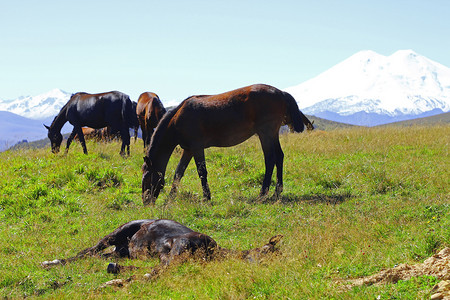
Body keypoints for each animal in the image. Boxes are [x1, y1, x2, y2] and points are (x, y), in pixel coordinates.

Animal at [42, 218, 282, 278]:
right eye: (267, 251)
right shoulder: (178, 245)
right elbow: (161, 269)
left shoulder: (164, 255)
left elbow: (156, 268)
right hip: (117, 232)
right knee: (88, 250)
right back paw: (51, 262)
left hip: (122, 251)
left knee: (99, 255)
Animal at [141, 84, 312, 204]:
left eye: (147, 178)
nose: (146, 202)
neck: (178, 118)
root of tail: (281, 93)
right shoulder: (188, 150)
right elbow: (178, 173)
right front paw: (171, 197)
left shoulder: (197, 148)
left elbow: (202, 172)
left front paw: (206, 197)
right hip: (272, 134)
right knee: (279, 157)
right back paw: (277, 191)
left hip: (266, 134)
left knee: (270, 159)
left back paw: (263, 193)